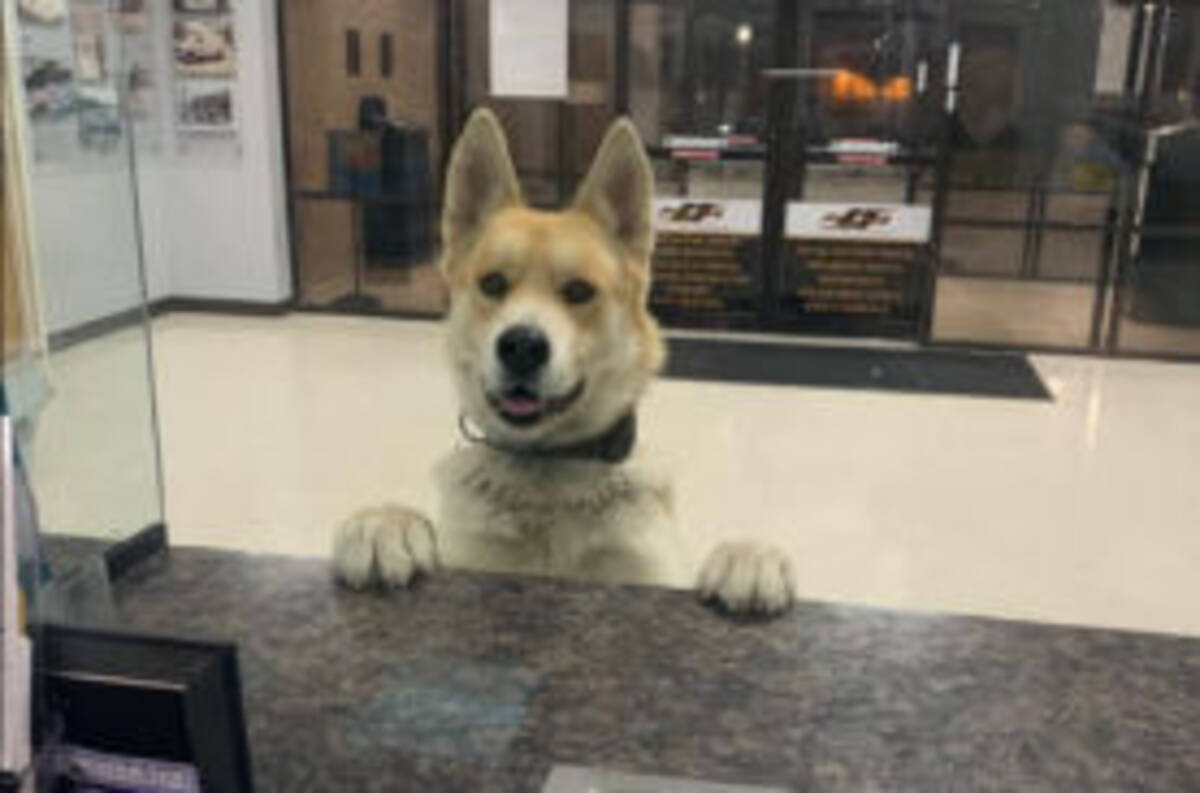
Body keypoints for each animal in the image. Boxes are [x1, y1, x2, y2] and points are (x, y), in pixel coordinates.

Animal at [332, 109, 795, 615]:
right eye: (492, 284)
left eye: (578, 291)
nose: (522, 346)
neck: (549, 469)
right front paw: (385, 522)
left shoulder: (652, 573)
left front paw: (747, 554)